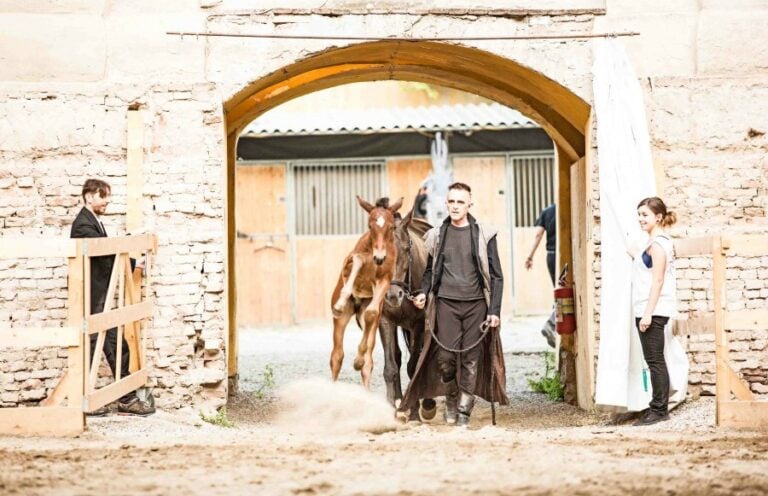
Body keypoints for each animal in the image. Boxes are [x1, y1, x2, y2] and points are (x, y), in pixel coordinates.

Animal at [328, 196, 402, 390]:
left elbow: (372, 312)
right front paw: (340, 303)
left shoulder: (384, 281)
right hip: (341, 320)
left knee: (368, 361)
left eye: (391, 226)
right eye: (370, 226)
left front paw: (358, 360)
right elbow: (358, 259)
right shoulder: (348, 263)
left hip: (367, 318)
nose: (379, 258)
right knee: (336, 356)